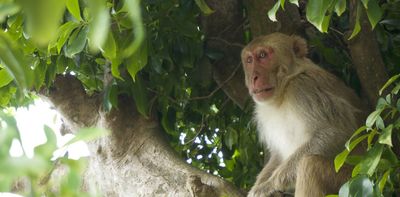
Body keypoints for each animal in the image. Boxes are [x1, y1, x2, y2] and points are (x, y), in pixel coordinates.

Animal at [241, 33, 366, 196]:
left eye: (262, 55)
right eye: (249, 60)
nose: (253, 77)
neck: (282, 93)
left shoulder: (303, 88)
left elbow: (338, 134)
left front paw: (268, 186)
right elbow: (278, 155)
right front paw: (258, 185)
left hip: (350, 180)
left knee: (309, 165)